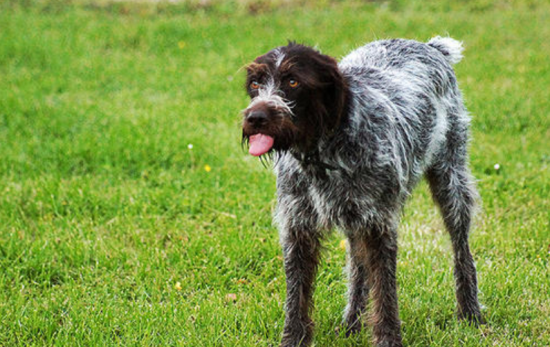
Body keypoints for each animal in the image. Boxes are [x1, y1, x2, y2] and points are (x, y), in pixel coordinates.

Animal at [244, 36, 486, 346]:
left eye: (293, 81)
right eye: (255, 84)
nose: (255, 117)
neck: (322, 157)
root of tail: (429, 46)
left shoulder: (378, 225)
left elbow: (384, 291)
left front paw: (388, 338)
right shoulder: (298, 227)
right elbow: (296, 297)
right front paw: (293, 339)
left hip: (451, 183)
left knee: (461, 251)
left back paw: (470, 312)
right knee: (358, 269)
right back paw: (352, 322)